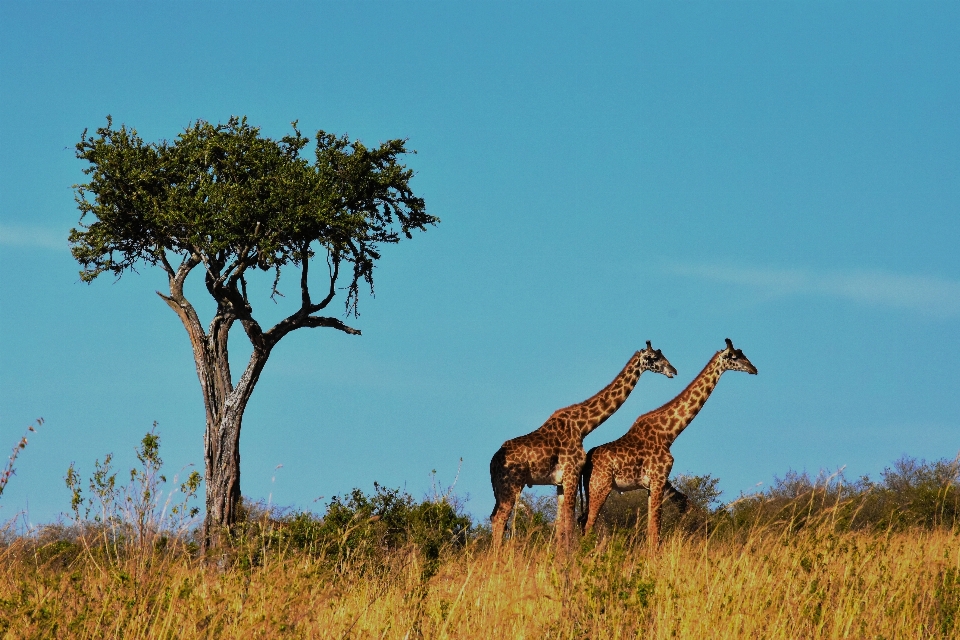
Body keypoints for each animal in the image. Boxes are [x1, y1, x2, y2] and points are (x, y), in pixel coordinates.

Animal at [492, 340, 680, 552]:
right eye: (654, 357)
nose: (673, 370)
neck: (582, 426)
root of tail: (492, 463)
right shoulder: (571, 473)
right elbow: (569, 522)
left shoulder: (561, 481)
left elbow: (561, 524)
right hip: (512, 485)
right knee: (500, 519)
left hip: (500, 489)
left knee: (495, 518)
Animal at [576, 338, 756, 552]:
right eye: (735, 357)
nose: (754, 369)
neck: (669, 433)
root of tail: (586, 463)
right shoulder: (659, 479)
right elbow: (656, 531)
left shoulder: (652, 484)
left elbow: (652, 529)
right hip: (600, 486)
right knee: (588, 525)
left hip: (591, 489)